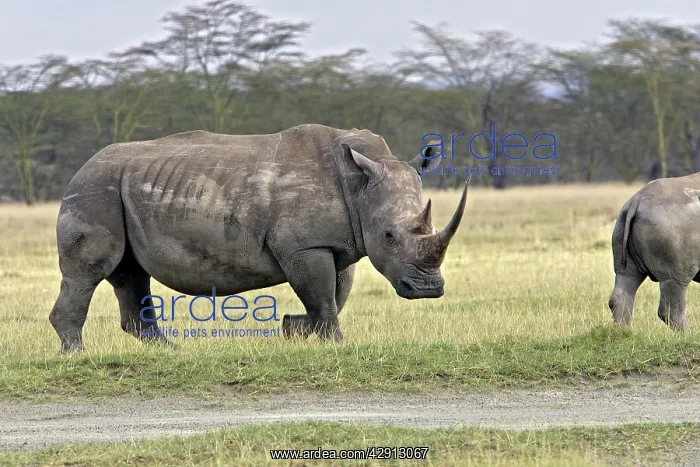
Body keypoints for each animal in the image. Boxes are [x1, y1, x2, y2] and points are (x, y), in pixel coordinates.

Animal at [49, 124, 470, 352]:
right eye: (388, 235)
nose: (428, 290)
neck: (359, 183)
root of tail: (79, 170)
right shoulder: (305, 245)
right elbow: (324, 297)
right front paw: (334, 343)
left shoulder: (337, 243)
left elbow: (335, 296)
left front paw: (293, 328)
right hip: (95, 189)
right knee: (89, 272)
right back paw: (78, 355)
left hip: (118, 188)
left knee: (131, 273)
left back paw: (171, 351)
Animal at [608, 175, 700, 331]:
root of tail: (636, 200)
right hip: (670, 224)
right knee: (676, 282)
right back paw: (690, 333)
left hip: (621, 222)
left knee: (626, 277)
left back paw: (622, 332)